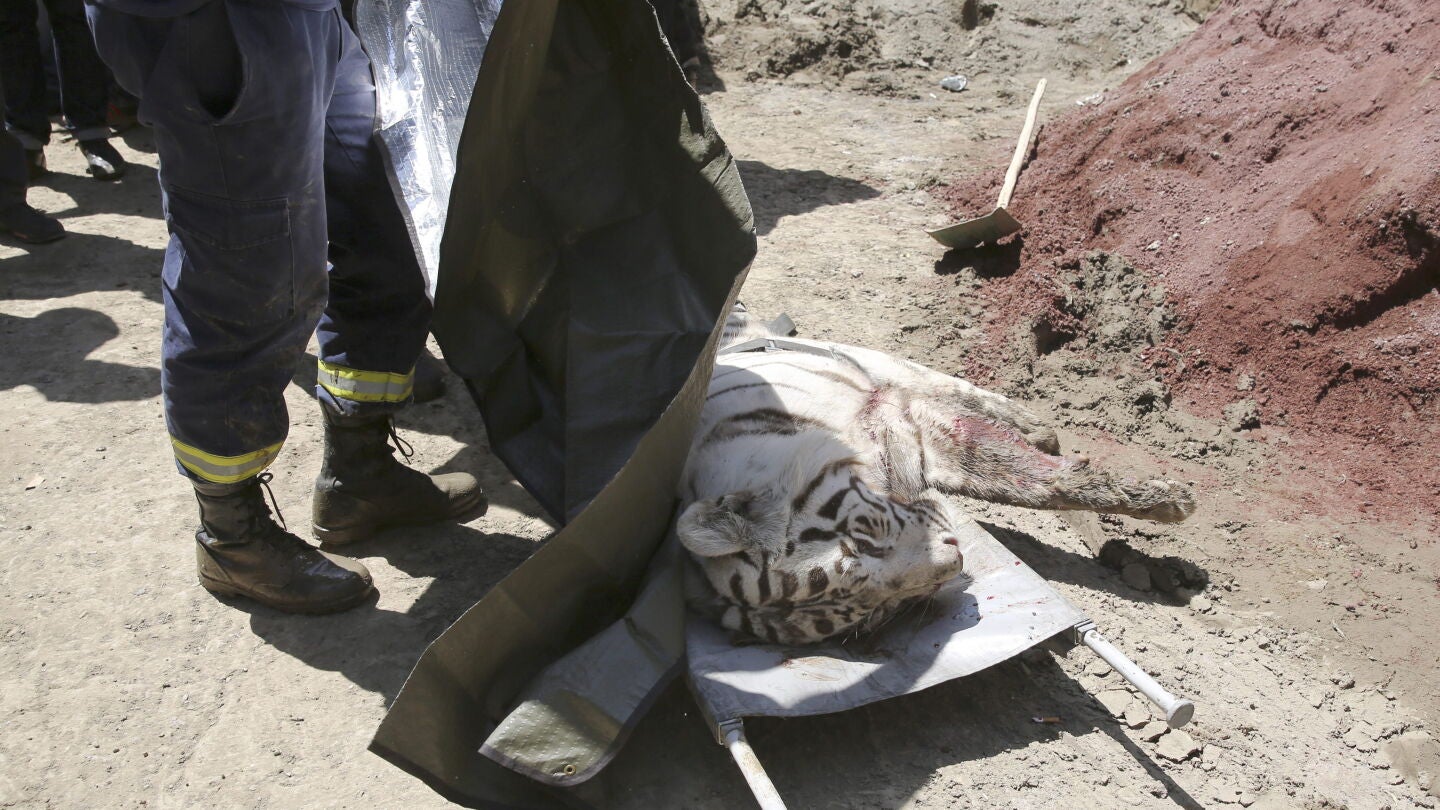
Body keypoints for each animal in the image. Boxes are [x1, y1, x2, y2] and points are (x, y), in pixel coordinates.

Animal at [677, 305, 1196, 645]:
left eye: (866, 537)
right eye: (878, 613)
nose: (954, 562)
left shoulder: (898, 417)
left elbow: (1030, 476)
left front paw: (1166, 500)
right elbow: (1012, 474)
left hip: (871, 363)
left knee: (948, 384)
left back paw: (1037, 426)